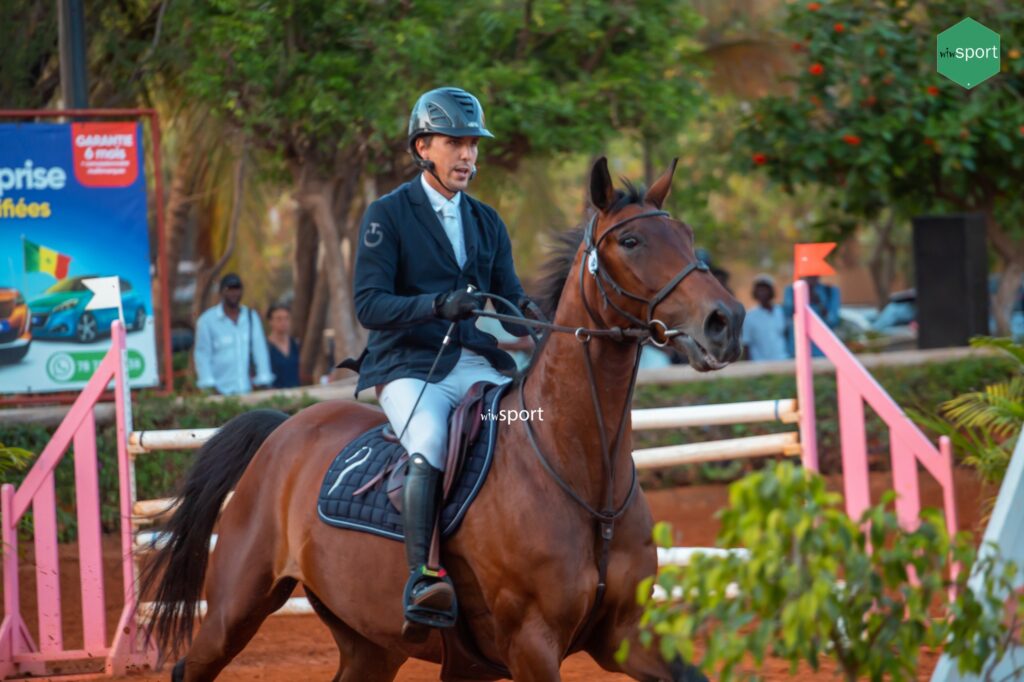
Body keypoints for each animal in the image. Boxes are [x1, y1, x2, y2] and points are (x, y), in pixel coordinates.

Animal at [141, 156, 744, 681]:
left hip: (370, 644)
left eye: (686, 235)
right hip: (235, 609)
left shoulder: (625, 635)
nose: (727, 321)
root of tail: (284, 429)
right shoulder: (532, 645)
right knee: (190, 666)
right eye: (631, 241)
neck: (578, 469)